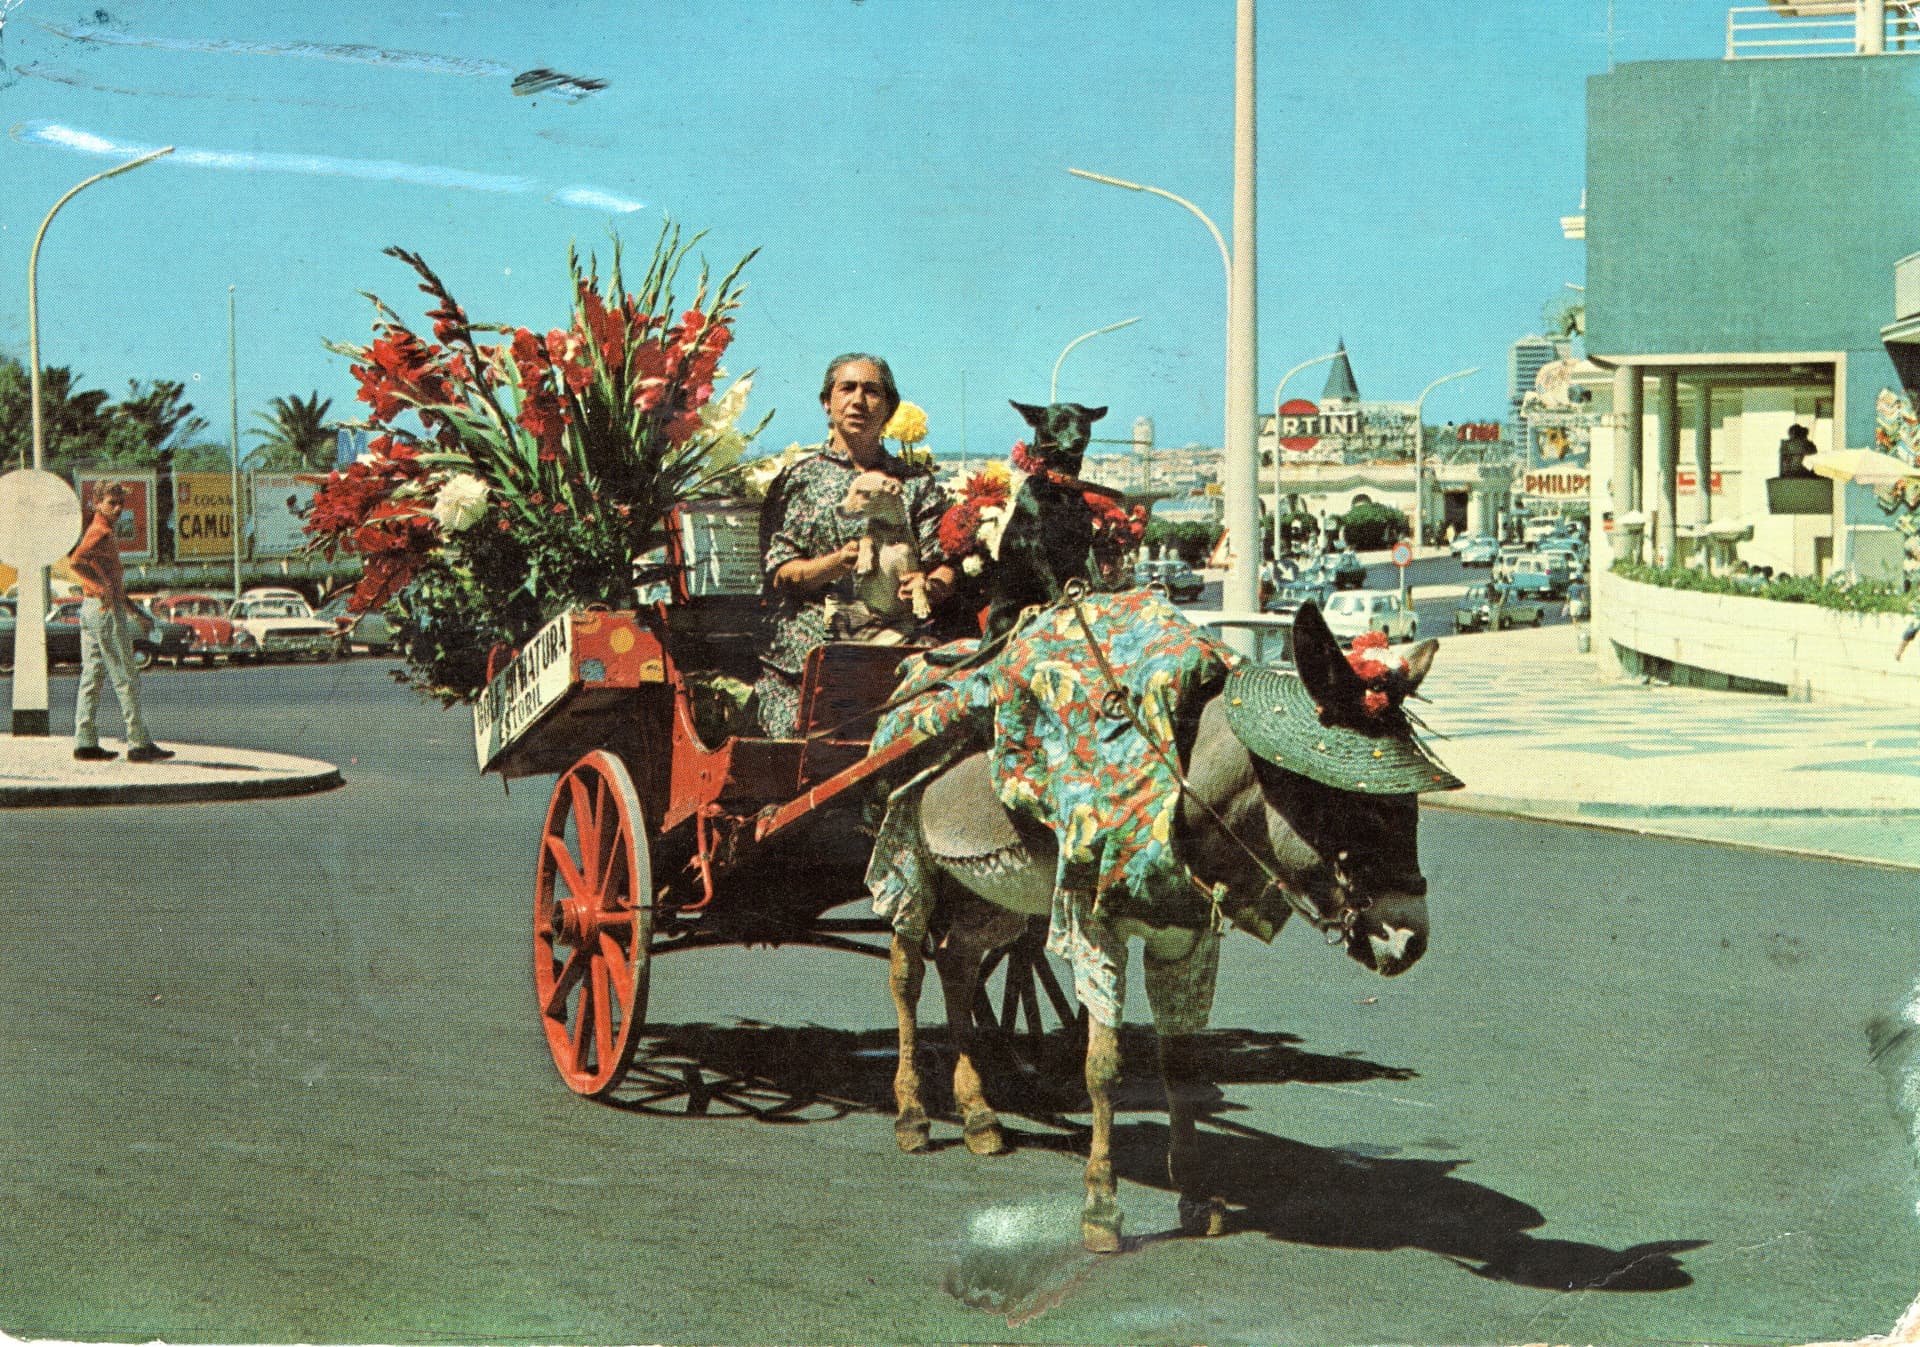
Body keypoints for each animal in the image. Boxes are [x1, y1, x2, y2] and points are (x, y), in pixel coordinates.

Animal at [877, 599, 1457, 1252]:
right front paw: (1101, 1207)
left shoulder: (1186, 940)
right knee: (907, 974)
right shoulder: (1094, 928)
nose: (1409, 938)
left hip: (994, 896)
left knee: (957, 963)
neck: (1180, 785)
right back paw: (913, 1114)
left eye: (1410, 804)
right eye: (1349, 802)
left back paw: (979, 1115)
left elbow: (1180, 1067)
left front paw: (1196, 1197)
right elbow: (1102, 1065)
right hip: (910, 861)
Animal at [982, 401, 1107, 640]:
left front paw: (1102, 586)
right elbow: (1049, 577)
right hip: (1003, 621)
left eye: (1084, 422)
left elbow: (1092, 563)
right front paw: (1060, 601)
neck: (1060, 485)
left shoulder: (1083, 536)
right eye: (1058, 422)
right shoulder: (1034, 543)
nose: (1078, 439)